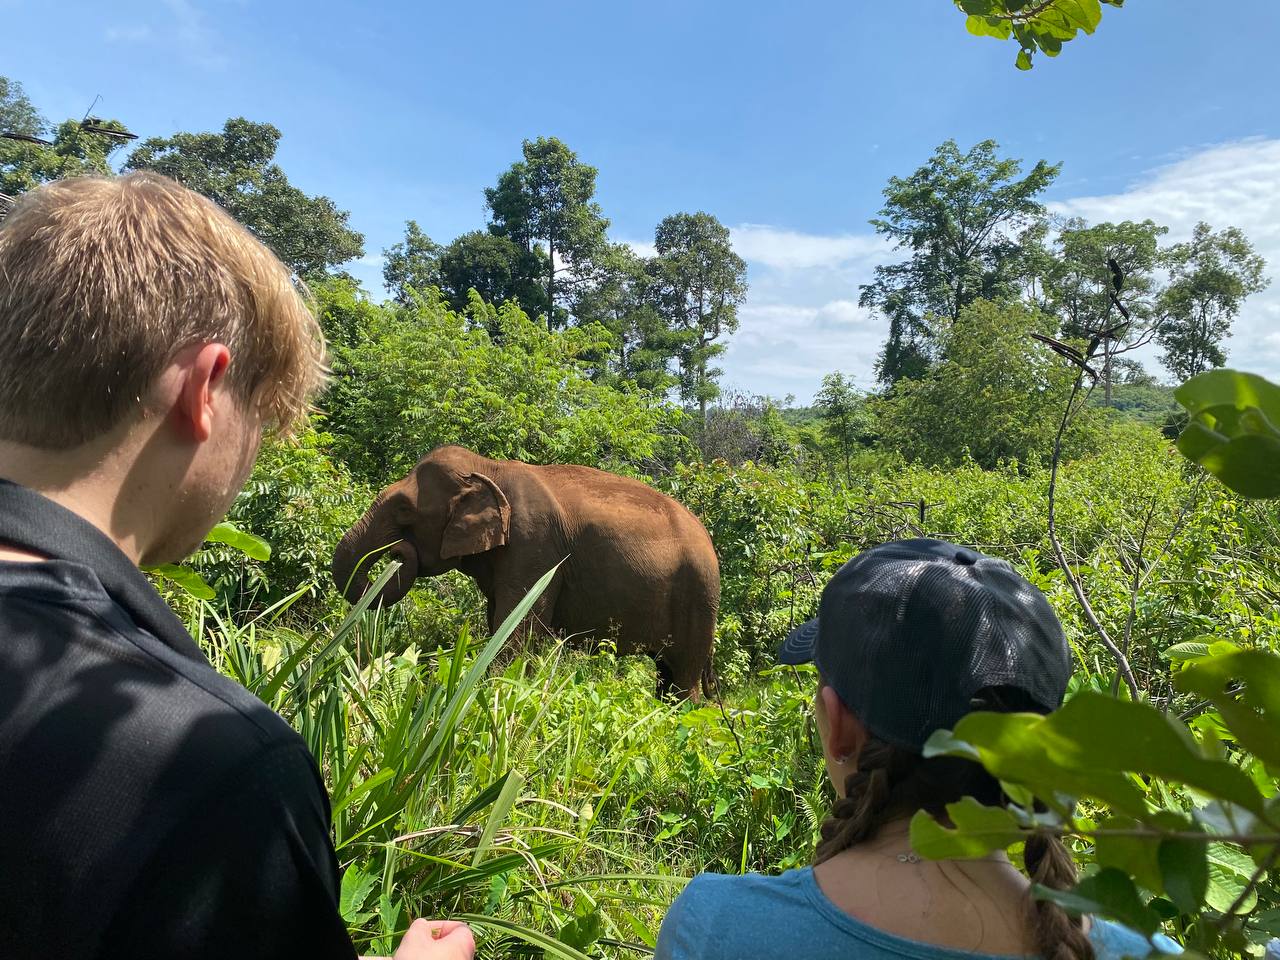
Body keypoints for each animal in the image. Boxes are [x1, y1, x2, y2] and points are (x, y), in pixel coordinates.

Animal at [332, 448, 721, 701]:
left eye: (403, 509)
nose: (397, 553)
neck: (489, 467)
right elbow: (500, 624)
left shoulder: (534, 545)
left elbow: (516, 632)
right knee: (666, 673)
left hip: (699, 598)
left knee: (683, 677)